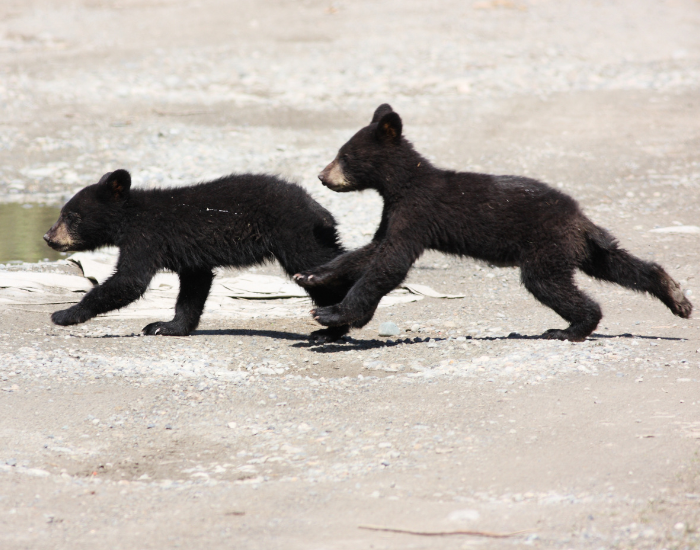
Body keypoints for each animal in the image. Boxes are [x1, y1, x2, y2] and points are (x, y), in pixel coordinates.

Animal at [44, 169, 358, 342]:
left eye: (71, 216)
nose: (48, 237)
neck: (130, 217)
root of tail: (318, 209)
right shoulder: (189, 256)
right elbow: (194, 287)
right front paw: (166, 326)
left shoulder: (146, 237)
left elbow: (129, 280)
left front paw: (64, 314)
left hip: (296, 235)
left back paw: (331, 328)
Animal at [294, 104, 693, 341]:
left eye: (345, 155)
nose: (322, 176)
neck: (401, 185)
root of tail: (579, 217)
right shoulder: (393, 213)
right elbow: (370, 249)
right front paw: (312, 275)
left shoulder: (417, 212)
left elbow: (390, 262)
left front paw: (329, 312)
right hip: (577, 247)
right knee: (614, 263)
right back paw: (675, 294)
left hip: (545, 245)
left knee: (547, 283)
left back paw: (568, 329)